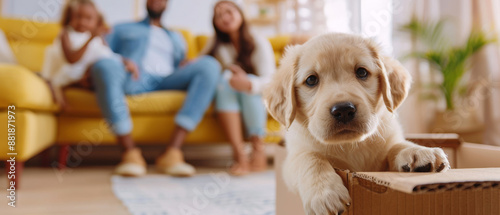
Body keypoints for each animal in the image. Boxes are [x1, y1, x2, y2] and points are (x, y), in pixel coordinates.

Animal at [264, 32, 452, 214]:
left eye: (362, 72)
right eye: (311, 80)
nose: (343, 110)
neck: (350, 145)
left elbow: (396, 145)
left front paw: (418, 151)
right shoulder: (292, 158)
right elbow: (310, 157)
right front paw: (325, 194)